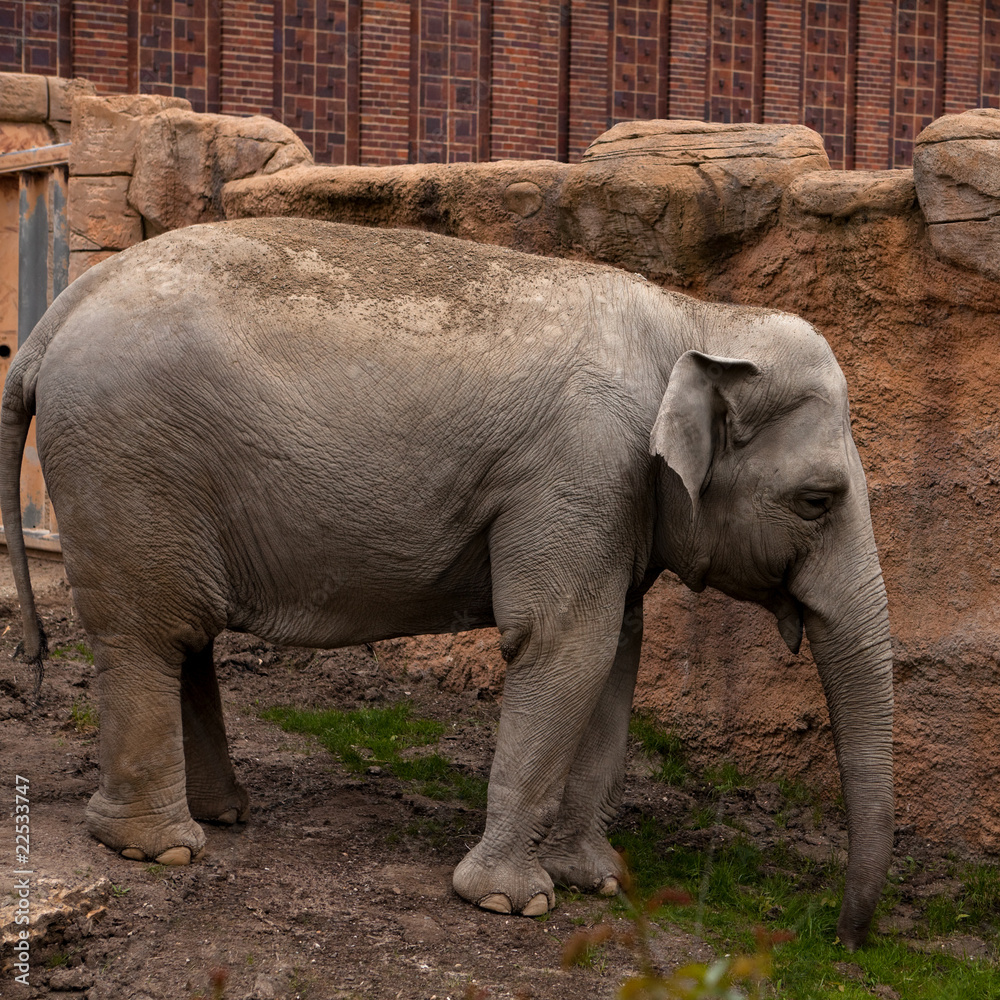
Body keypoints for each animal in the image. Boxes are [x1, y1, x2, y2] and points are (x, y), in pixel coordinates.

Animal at [0, 218, 893, 950]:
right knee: (149, 632)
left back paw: (223, 814)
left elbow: (616, 651)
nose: (844, 939)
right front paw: (512, 903)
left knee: (184, 632)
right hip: (128, 460)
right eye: (818, 500)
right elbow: (562, 643)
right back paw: (161, 848)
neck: (697, 319)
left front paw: (598, 882)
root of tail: (58, 312)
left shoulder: (615, 499)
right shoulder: (580, 468)